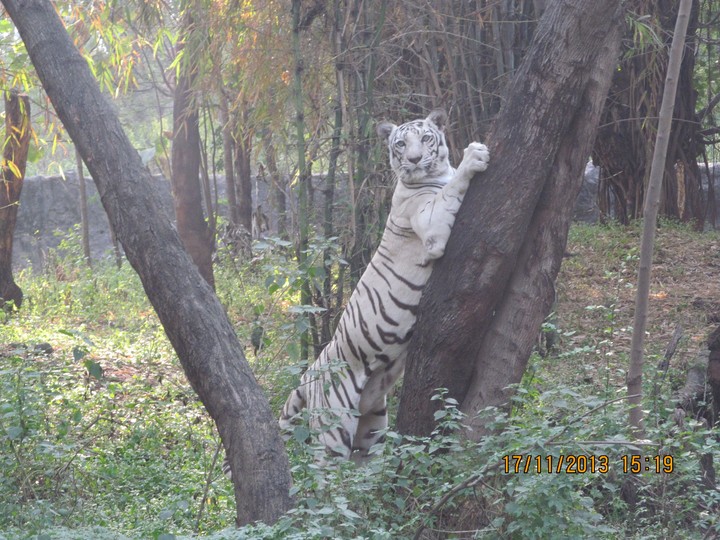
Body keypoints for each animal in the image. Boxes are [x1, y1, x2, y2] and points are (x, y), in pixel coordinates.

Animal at [279, 110, 490, 462]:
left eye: (425, 138)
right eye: (401, 144)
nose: (414, 159)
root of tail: (309, 374)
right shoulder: (431, 223)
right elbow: (450, 191)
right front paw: (474, 154)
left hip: (372, 428)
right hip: (334, 429)